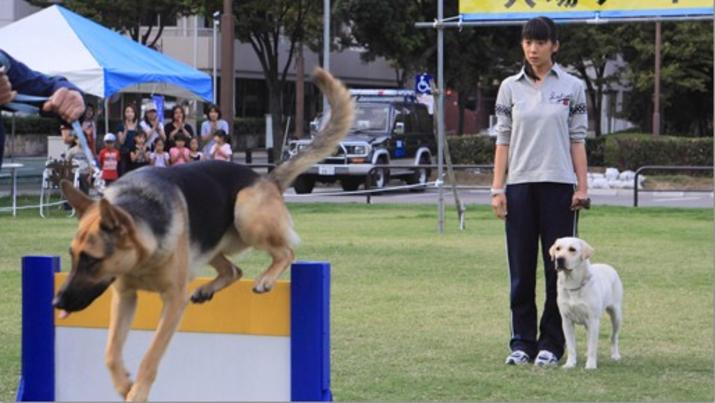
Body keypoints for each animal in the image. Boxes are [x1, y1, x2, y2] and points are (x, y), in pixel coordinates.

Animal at [55, 69, 356, 400]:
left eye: (92, 260)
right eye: (72, 257)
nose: (57, 303)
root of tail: (266, 178)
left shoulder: (174, 302)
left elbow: (151, 355)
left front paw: (138, 391)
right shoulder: (125, 297)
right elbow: (110, 352)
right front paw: (123, 383)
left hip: (245, 212)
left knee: (285, 252)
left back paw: (265, 279)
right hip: (208, 242)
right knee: (234, 270)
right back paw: (207, 288)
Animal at [552, 238, 624, 370]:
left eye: (572, 249)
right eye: (557, 248)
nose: (559, 259)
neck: (572, 284)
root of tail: (608, 266)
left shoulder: (593, 320)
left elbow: (592, 346)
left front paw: (590, 365)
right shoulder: (566, 321)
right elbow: (571, 346)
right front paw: (570, 364)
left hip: (616, 315)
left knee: (614, 337)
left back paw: (615, 355)